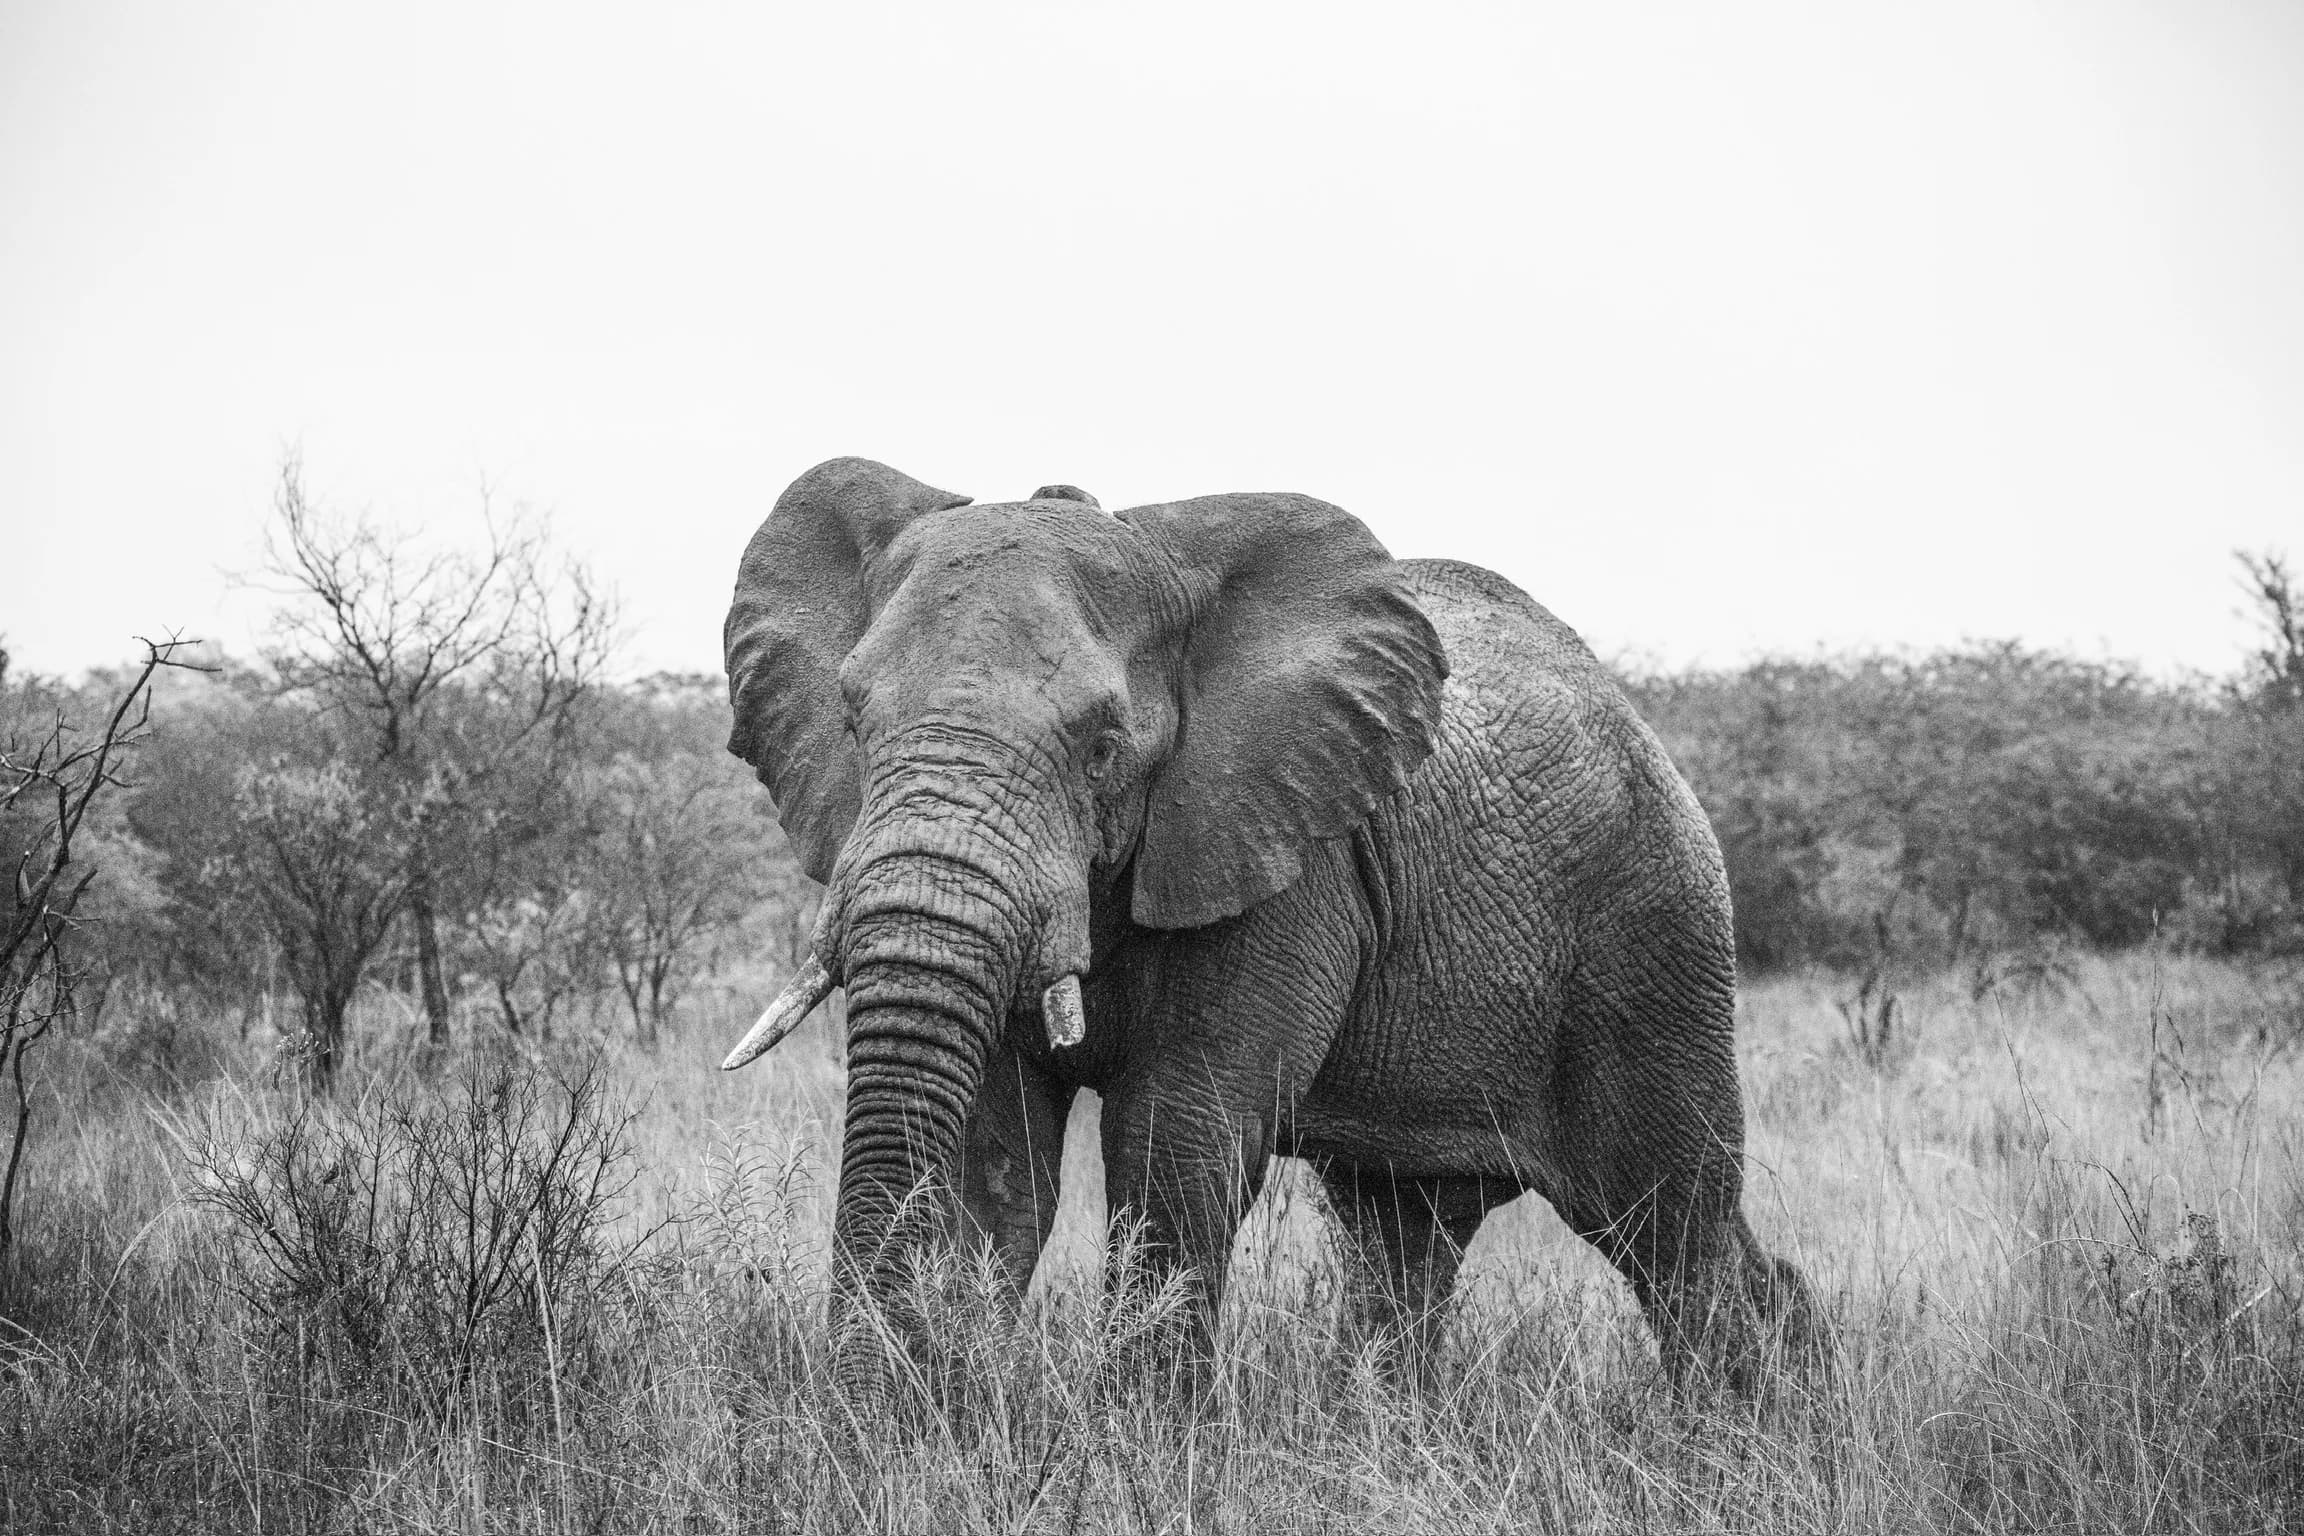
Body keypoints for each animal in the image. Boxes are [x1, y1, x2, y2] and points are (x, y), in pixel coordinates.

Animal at [720, 457, 1816, 1386]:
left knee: (1670, 1224)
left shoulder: (1286, 853)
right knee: (1406, 1232)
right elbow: (991, 1156)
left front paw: (1138, 1453)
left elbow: (1174, 1136)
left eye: (1104, 748)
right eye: (853, 722)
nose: (854, 1401)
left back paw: (1733, 1431)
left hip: (1654, 935)